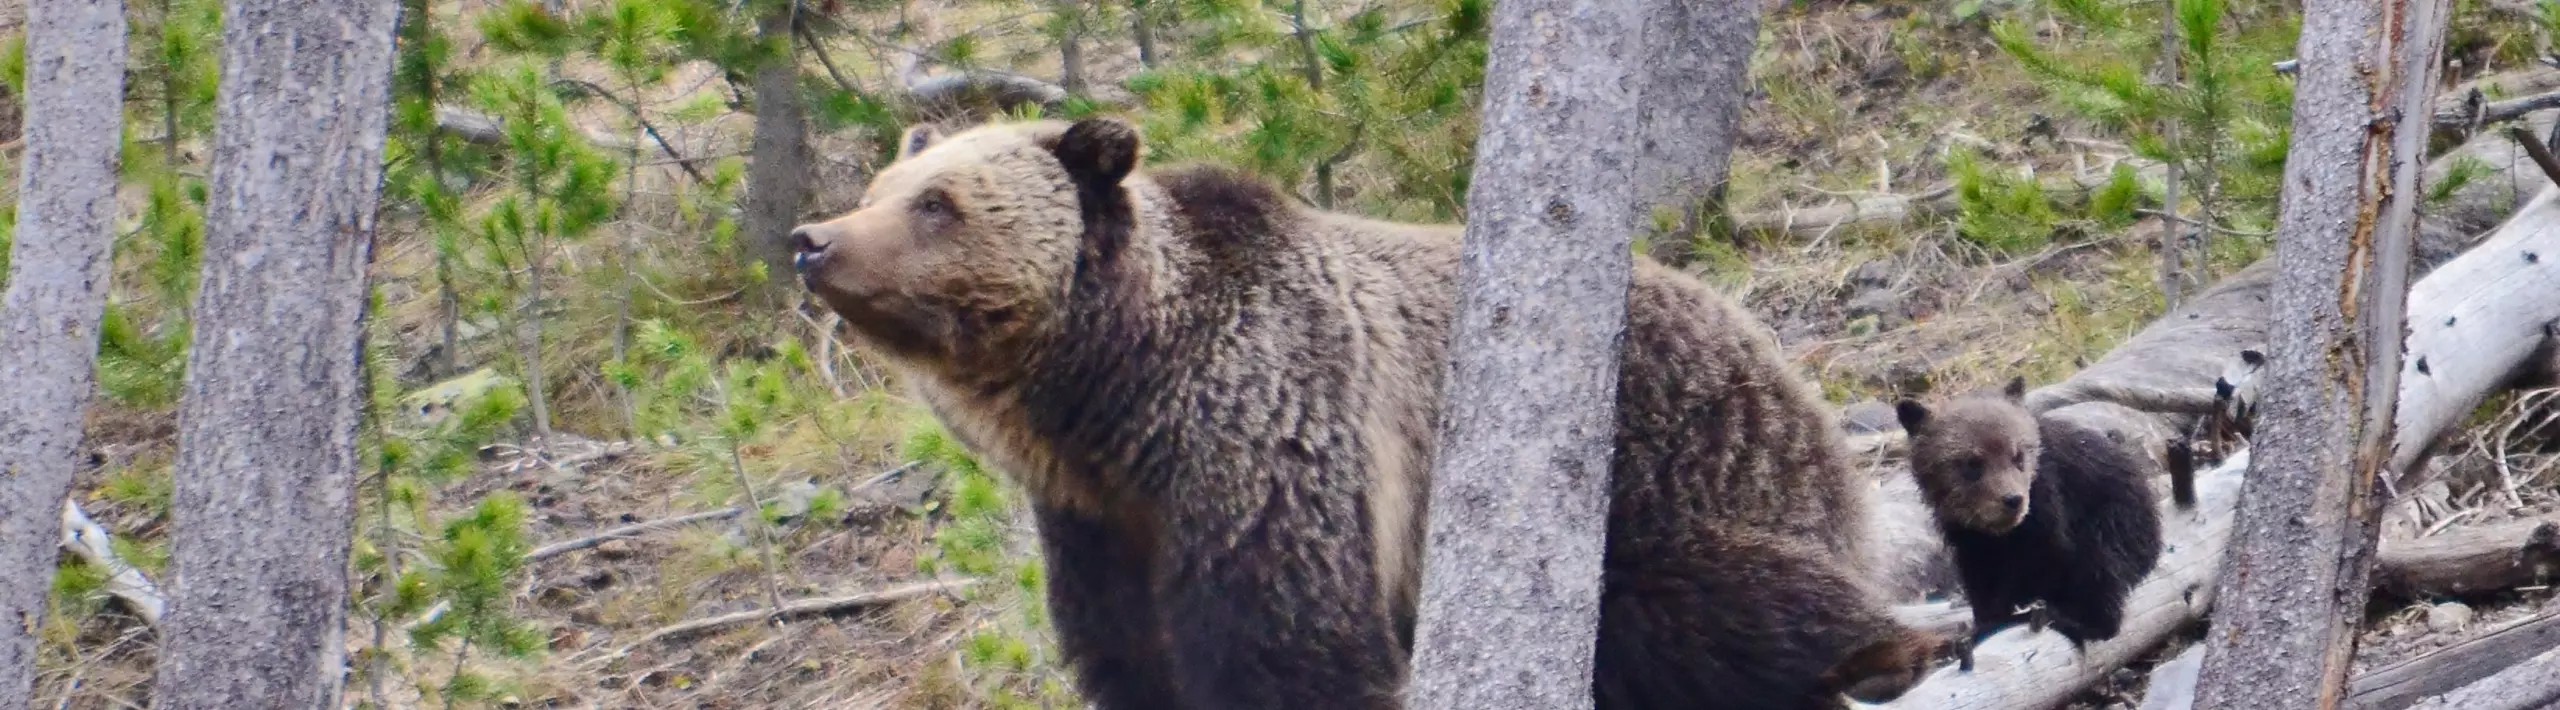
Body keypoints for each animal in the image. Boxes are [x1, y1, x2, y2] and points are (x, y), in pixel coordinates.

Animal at [788, 116, 1944, 709]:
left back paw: (1880, 651)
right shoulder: (1096, 522)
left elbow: (1289, 642)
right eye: (884, 183)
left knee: (1719, 597)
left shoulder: (1277, 431)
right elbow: (1129, 653)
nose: (813, 238)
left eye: (936, 202)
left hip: (1672, 467)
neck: (1119, 398)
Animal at [1894, 376, 2189, 670]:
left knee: (2103, 571)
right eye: (1972, 462)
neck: (2000, 536)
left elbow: (2050, 556)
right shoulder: (1966, 538)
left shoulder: (2050, 511)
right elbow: (1981, 585)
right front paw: (1983, 627)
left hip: (2116, 526)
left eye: (2018, 455)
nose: (2012, 500)